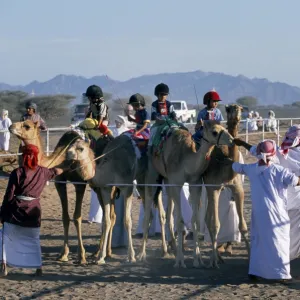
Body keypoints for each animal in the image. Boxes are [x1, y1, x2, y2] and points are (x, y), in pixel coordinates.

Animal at [9, 120, 112, 264]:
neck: (62, 158)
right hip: (97, 187)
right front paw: (63, 254)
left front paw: (81, 256)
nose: (11, 126)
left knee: (111, 214)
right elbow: (65, 217)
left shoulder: (79, 184)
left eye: (27, 126)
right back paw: (100, 252)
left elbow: (77, 217)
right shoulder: (60, 182)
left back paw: (104, 253)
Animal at [139, 120, 236, 268]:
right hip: (153, 174)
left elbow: (195, 220)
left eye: (223, 127)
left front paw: (198, 259)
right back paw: (142, 255)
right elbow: (180, 221)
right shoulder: (176, 183)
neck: (187, 160)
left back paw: (169, 250)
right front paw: (180, 261)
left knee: (167, 214)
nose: (231, 140)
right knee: (149, 211)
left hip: (167, 180)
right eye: (214, 132)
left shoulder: (195, 183)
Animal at [203, 104, 250, 268]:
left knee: (206, 218)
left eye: (241, 108)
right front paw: (212, 261)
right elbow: (215, 224)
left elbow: (243, 226)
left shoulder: (238, 189)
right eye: (229, 109)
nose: (236, 114)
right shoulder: (214, 188)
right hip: (206, 188)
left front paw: (251, 257)